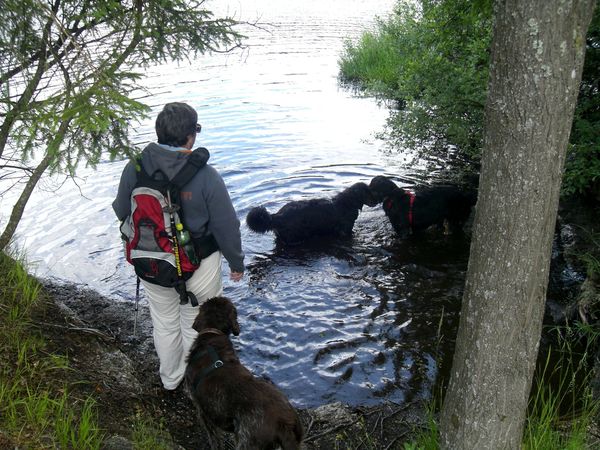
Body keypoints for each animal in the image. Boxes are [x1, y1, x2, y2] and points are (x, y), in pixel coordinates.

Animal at [246, 182, 378, 246]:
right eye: (368, 192)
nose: (376, 201)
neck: (347, 203)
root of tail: (277, 216)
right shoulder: (344, 230)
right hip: (294, 236)